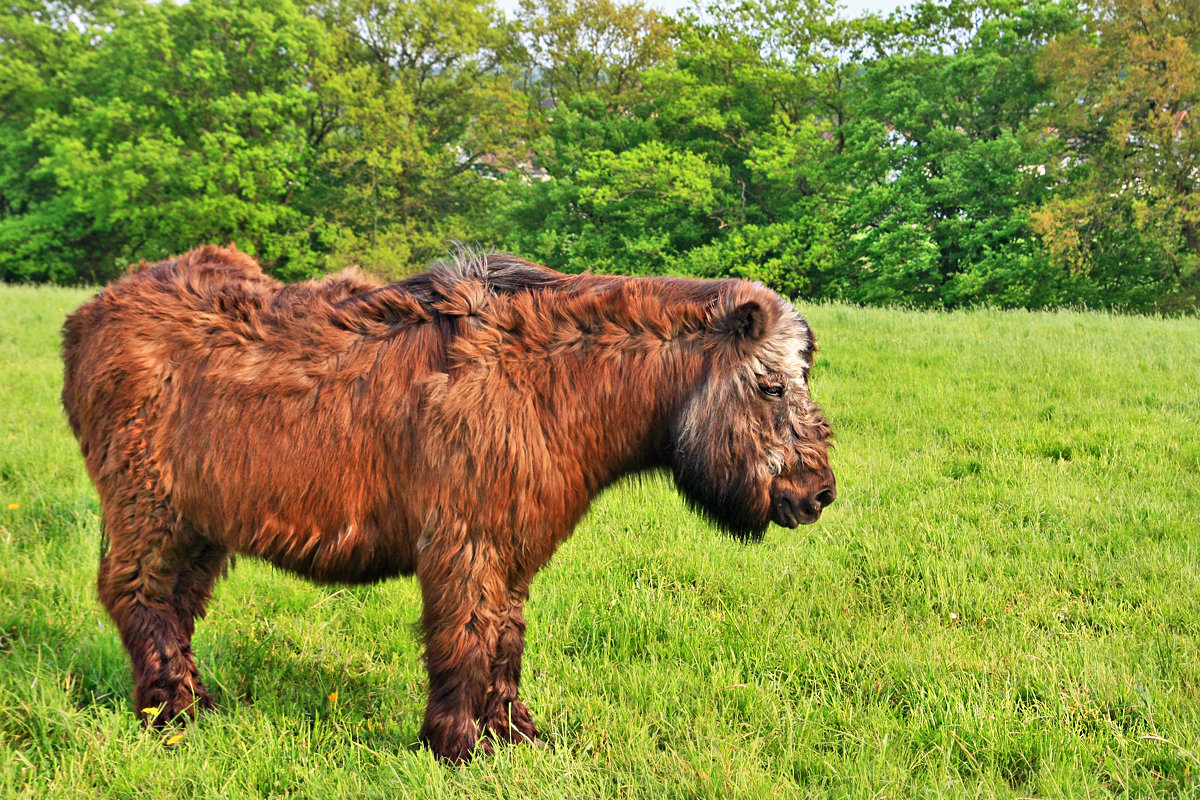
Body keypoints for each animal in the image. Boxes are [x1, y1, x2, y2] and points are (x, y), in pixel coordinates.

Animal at [58, 244, 835, 762]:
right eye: (771, 385)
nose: (818, 493)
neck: (546, 384)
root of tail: (89, 315)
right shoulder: (465, 543)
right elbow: (464, 638)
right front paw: (460, 745)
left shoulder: (509, 551)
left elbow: (504, 641)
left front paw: (514, 734)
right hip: (147, 514)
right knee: (137, 599)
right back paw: (169, 713)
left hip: (198, 525)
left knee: (173, 609)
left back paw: (192, 701)